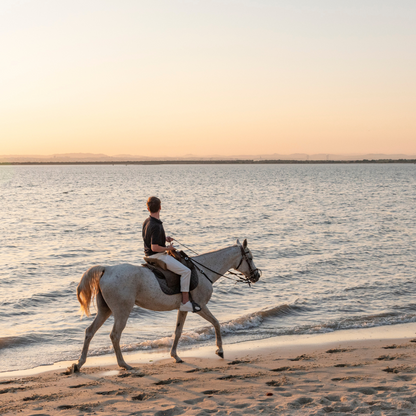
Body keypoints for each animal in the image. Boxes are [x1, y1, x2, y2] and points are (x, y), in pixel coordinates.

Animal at [71, 239, 260, 372]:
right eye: (249, 258)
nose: (257, 275)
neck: (202, 271)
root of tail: (107, 269)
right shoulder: (201, 306)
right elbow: (216, 323)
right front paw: (219, 350)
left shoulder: (183, 309)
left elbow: (178, 331)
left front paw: (175, 356)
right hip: (121, 311)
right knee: (115, 335)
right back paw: (124, 364)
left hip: (105, 311)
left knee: (89, 331)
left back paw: (78, 364)